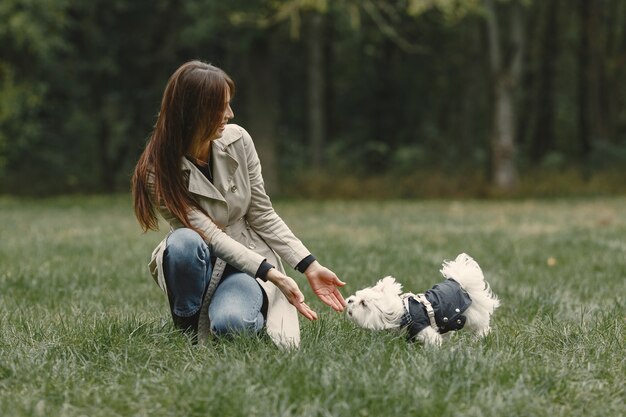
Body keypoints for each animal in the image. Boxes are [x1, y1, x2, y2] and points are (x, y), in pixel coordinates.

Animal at [344, 252, 500, 346]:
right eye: (357, 295)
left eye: (363, 303)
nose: (349, 300)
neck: (404, 313)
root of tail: (460, 283)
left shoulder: (421, 328)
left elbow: (433, 340)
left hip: (471, 316)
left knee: (482, 327)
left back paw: (480, 338)